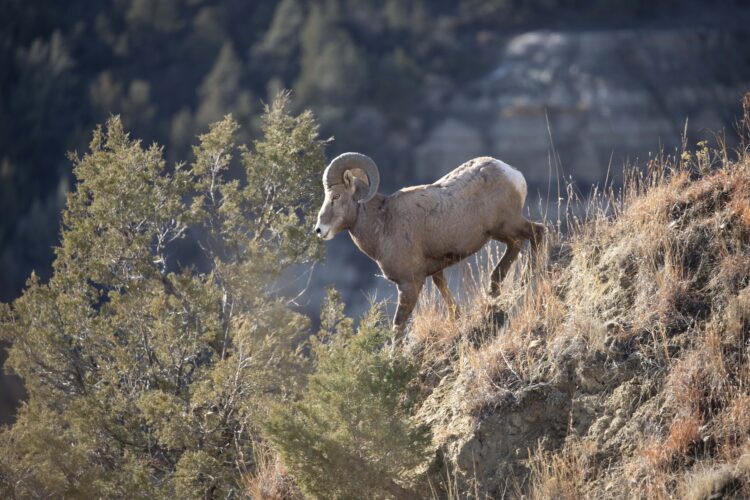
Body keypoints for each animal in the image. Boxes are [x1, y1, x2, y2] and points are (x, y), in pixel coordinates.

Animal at [314, 152, 545, 335]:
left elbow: (398, 325)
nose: (319, 230)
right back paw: (495, 289)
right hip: (500, 233)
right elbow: (445, 293)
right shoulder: (435, 271)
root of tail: (512, 173)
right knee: (516, 246)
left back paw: (526, 279)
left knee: (538, 232)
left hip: (508, 226)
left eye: (336, 196)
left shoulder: (409, 284)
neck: (384, 223)